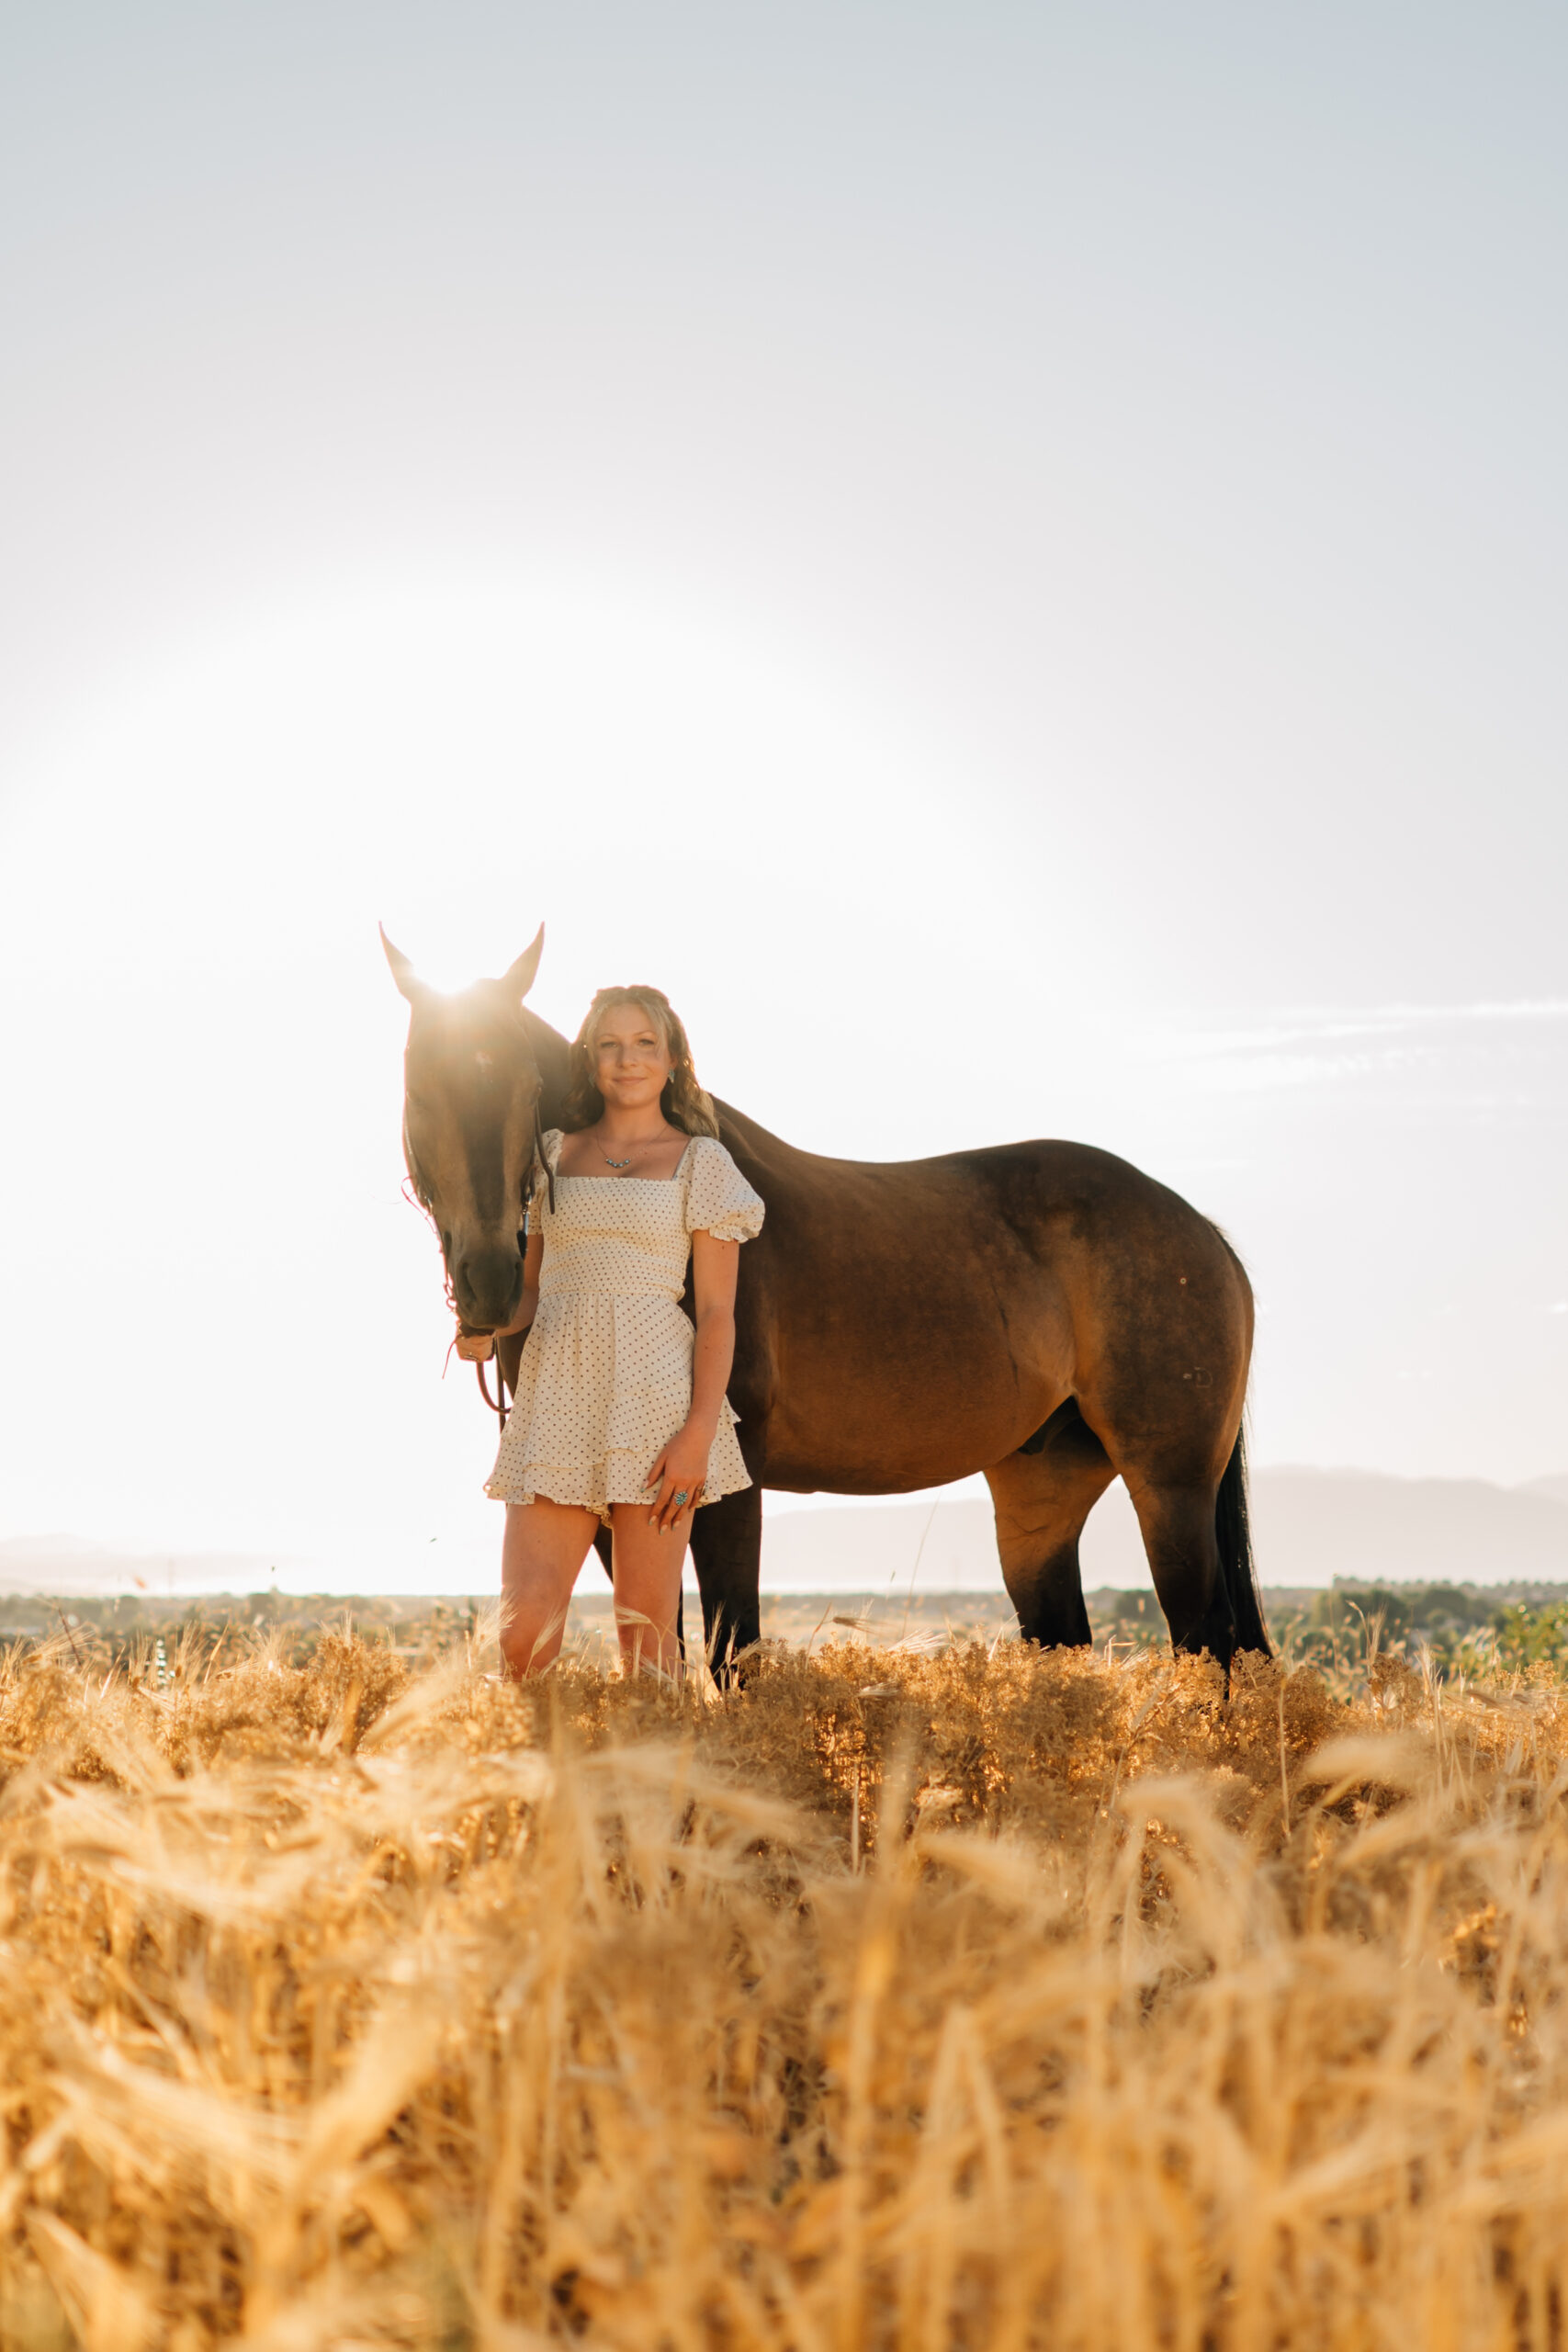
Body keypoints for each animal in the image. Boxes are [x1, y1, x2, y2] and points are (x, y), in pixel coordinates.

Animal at [383, 927, 1269, 1671]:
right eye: (418, 1090)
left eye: (526, 1086)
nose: (490, 1280)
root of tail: (1201, 1231)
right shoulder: (606, 1498)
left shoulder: (723, 1487)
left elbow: (729, 1657)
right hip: (1041, 1492)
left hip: (1170, 1485)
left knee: (1210, 1645)